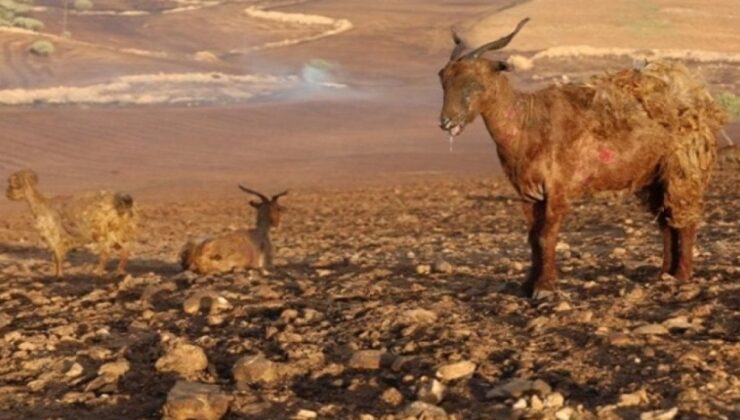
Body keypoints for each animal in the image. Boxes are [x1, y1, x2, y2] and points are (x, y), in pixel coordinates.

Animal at [5, 169, 137, 278]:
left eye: (12, 185)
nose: (6, 194)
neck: (42, 205)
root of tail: (121, 200)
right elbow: (57, 258)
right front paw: (57, 274)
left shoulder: (55, 237)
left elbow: (58, 257)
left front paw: (59, 276)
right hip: (117, 230)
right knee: (125, 249)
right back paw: (119, 271)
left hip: (100, 230)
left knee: (106, 252)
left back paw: (98, 272)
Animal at [436, 17, 724, 298]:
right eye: (443, 78)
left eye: (474, 82)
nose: (446, 122)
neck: (528, 122)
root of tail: (697, 97)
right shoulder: (528, 193)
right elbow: (532, 238)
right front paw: (528, 285)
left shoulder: (558, 189)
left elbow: (546, 235)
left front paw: (544, 288)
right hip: (653, 177)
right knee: (666, 222)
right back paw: (665, 273)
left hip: (683, 169)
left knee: (685, 220)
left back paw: (682, 276)